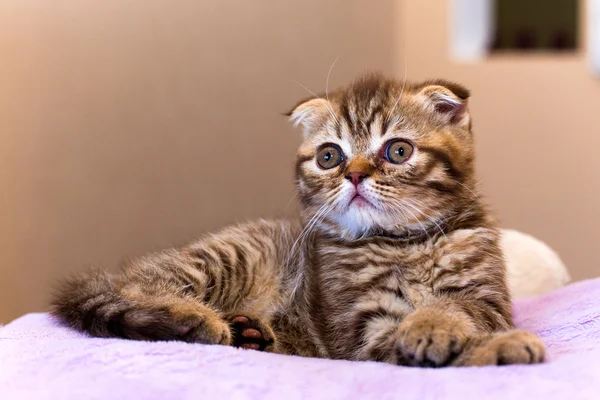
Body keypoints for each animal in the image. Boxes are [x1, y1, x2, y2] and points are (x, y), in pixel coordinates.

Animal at [54, 73, 548, 368]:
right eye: (330, 156)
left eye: (398, 150)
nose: (354, 174)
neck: (402, 243)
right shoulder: (360, 330)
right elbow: (398, 344)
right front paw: (492, 346)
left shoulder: (487, 298)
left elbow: (455, 306)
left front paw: (436, 323)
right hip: (234, 254)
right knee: (136, 288)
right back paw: (194, 319)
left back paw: (252, 333)